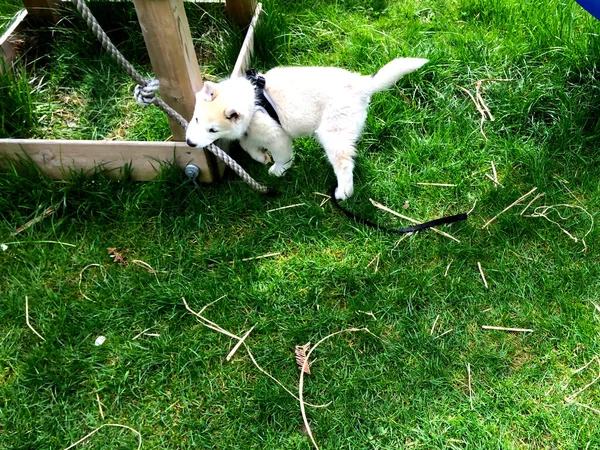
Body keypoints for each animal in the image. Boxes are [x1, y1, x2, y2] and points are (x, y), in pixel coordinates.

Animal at [186, 57, 426, 200]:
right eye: (196, 119)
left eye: (213, 130)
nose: (189, 143)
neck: (253, 100)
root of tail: (361, 84)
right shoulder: (251, 130)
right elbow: (247, 144)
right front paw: (260, 157)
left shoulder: (277, 135)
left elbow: (282, 156)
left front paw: (278, 169)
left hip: (332, 133)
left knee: (344, 164)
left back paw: (343, 192)